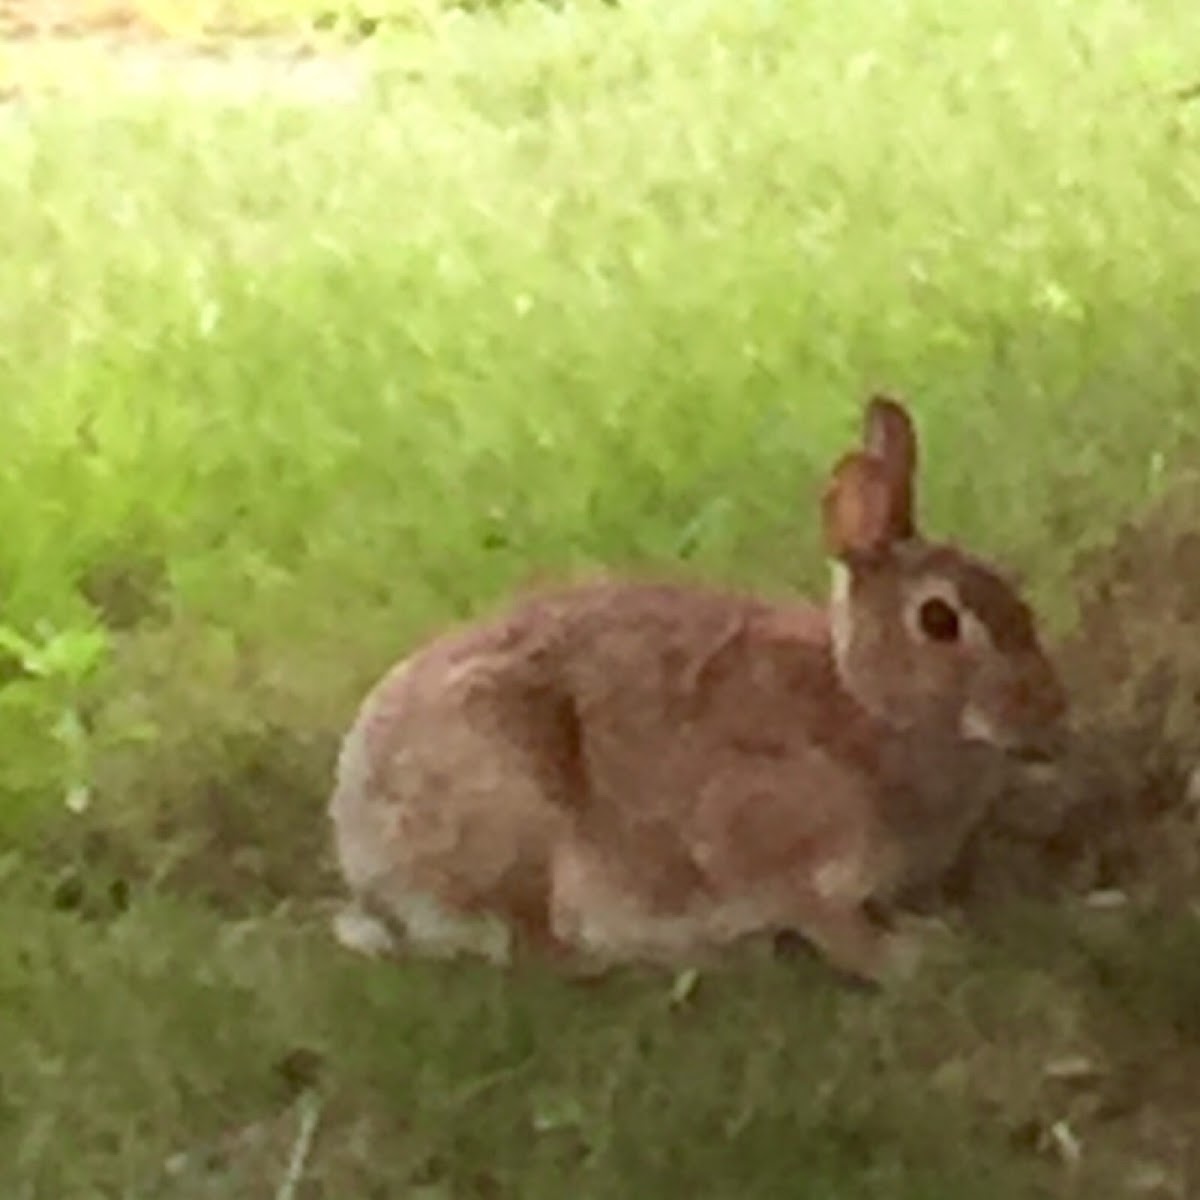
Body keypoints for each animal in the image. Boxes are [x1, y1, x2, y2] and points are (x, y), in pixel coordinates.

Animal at [328, 398, 1070, 979]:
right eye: (940, 621)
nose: (1051, 717)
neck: (864, 700)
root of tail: (359, 841)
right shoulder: (770, 845)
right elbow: (831, 927)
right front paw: (913, 956)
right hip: (515, 815)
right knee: (544, 947)